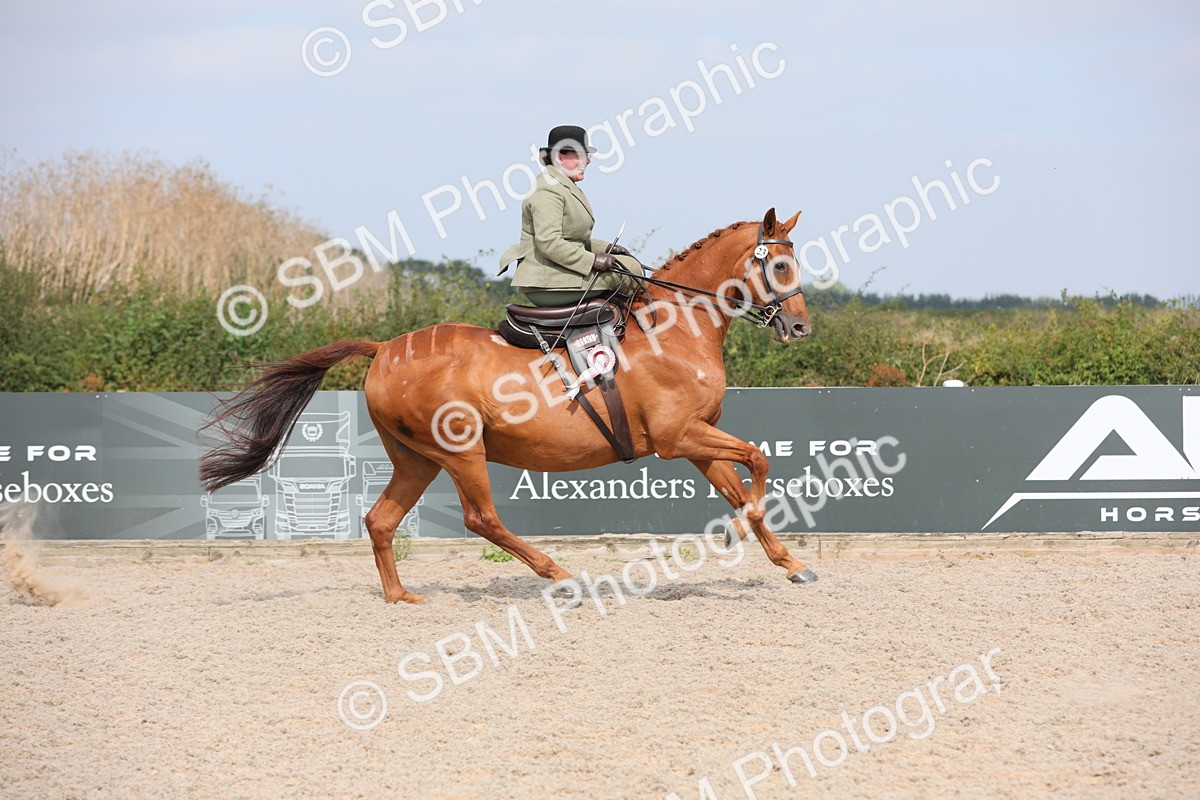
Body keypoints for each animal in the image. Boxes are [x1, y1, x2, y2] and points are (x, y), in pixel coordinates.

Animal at [200, 207, 816, 603]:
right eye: (781, 266)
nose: (801, 328)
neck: (676, 329)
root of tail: (385, 348)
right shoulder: (675, 437)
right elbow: (758, 460)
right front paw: (744, 532)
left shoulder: (697, 438)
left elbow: (740, 482)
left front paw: (791, 564)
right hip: (460, 451)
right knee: (482, 518)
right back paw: (561, 576)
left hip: (415, 459)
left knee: (381, 520)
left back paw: (400, 597)